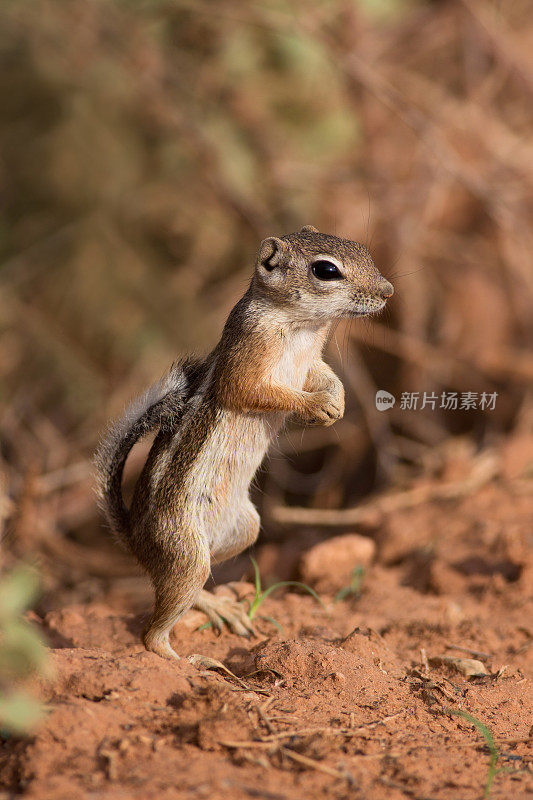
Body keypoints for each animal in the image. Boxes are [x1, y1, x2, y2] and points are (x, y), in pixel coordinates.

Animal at [95, 225, 392, 656]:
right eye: (326, 270)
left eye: (363, 250)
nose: (388, 291)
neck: (303, 326)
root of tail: (135, 541)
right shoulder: (248, 358)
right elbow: (255, 391)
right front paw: (317, 405)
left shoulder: (312, 361)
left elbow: (324, 374)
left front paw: (336, 400)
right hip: (185, 551)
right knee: (151, 634)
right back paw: (190, 661)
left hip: (244, 530)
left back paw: (216, 606)